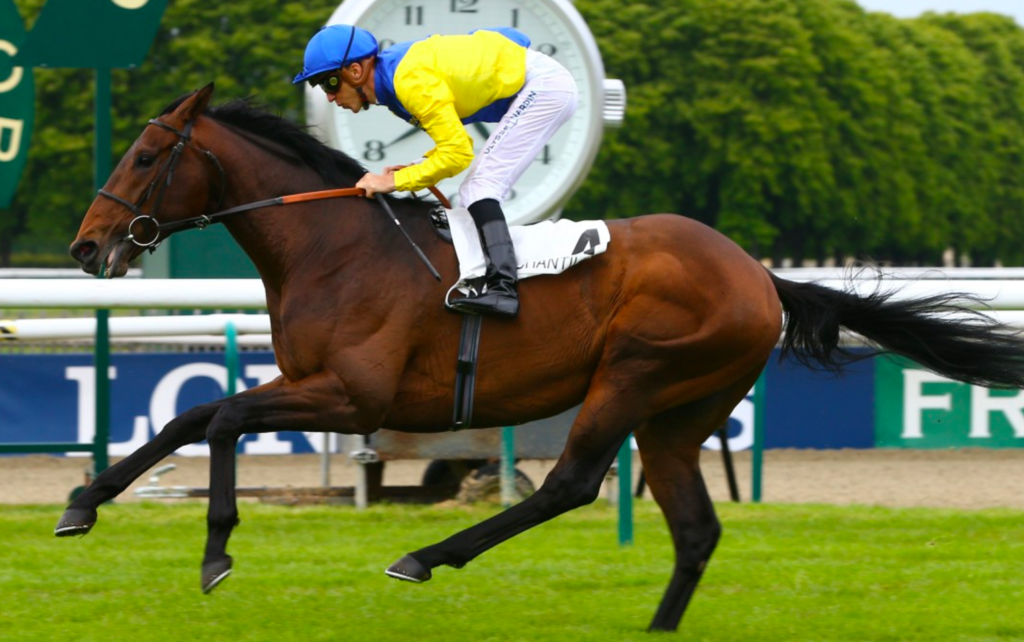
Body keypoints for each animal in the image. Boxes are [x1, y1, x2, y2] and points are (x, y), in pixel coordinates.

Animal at [63, 83, 1024, 632]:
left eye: (145, 156)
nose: (85, 246)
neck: (333, 246)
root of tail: (758, 273)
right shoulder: (307, 382)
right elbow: (191, 415)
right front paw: (82, 502)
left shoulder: (352, 396)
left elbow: (221, 417)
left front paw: (216, 553)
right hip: (680, 415)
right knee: (694, 527)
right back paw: (654, 626)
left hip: (635, 374)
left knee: (571, 484)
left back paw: (428, 556)